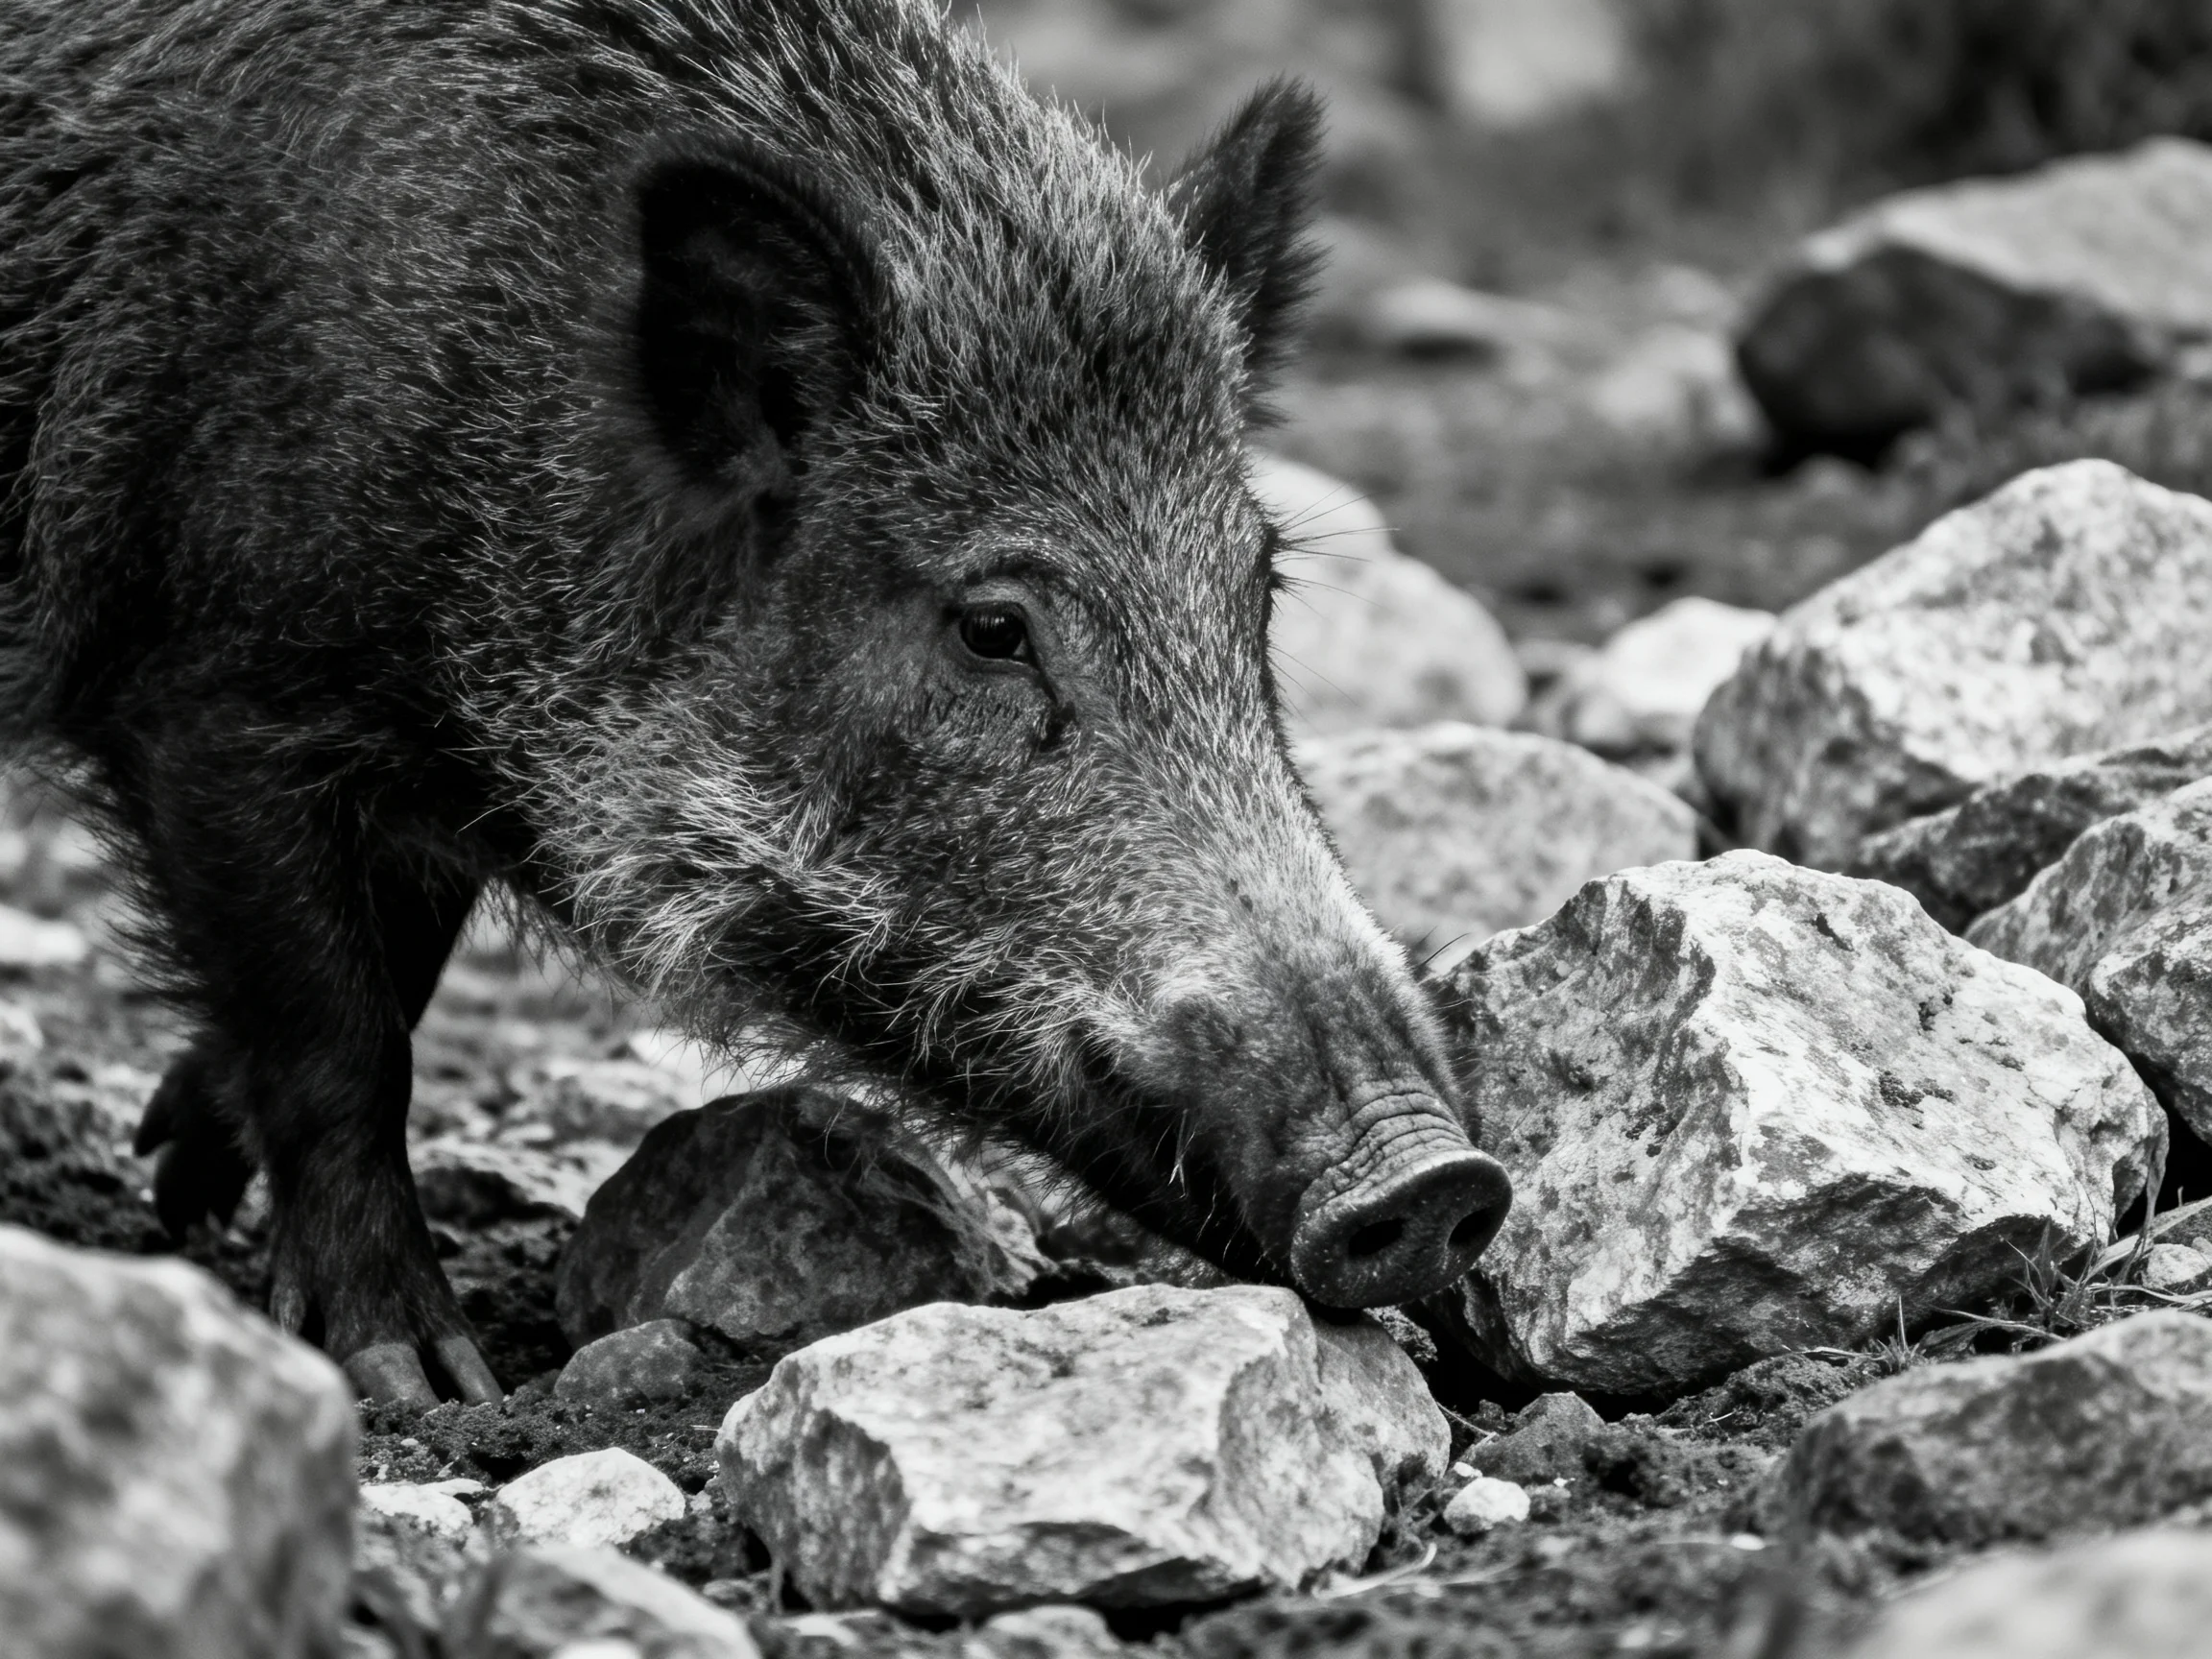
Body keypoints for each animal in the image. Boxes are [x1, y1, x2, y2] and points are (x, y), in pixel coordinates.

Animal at [0, 0, 1511, 1403]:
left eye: (1257, 588)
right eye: (993, 627)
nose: (1436, 1182)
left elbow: (400, 973)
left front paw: (183, 1172)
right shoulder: (211, 695)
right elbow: (338, 1039)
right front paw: (420, 1378)